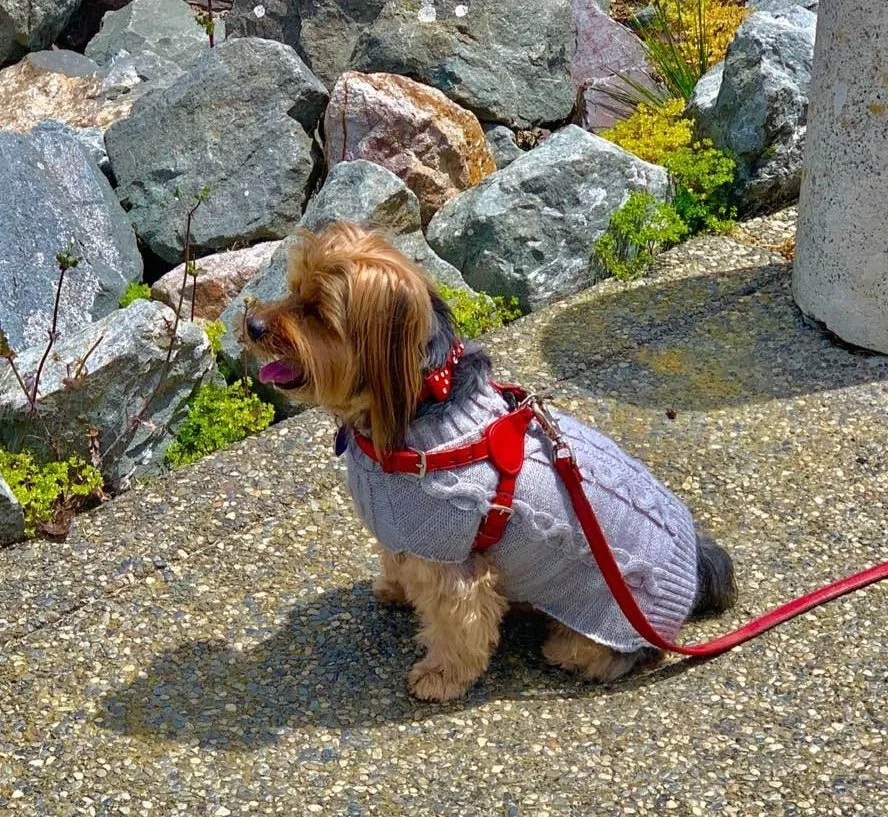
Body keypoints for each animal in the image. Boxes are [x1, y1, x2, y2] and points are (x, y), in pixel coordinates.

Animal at [243, 223, 736, 700]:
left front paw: (439, 677)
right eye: (292, 289)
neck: (419, 403)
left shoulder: (451, 559)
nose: (250, 324)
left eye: (316, 311)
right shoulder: (405, 533)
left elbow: (458, 627)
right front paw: (396, 589)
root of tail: (694, 568)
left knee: (604, 654)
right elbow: (397, 562)